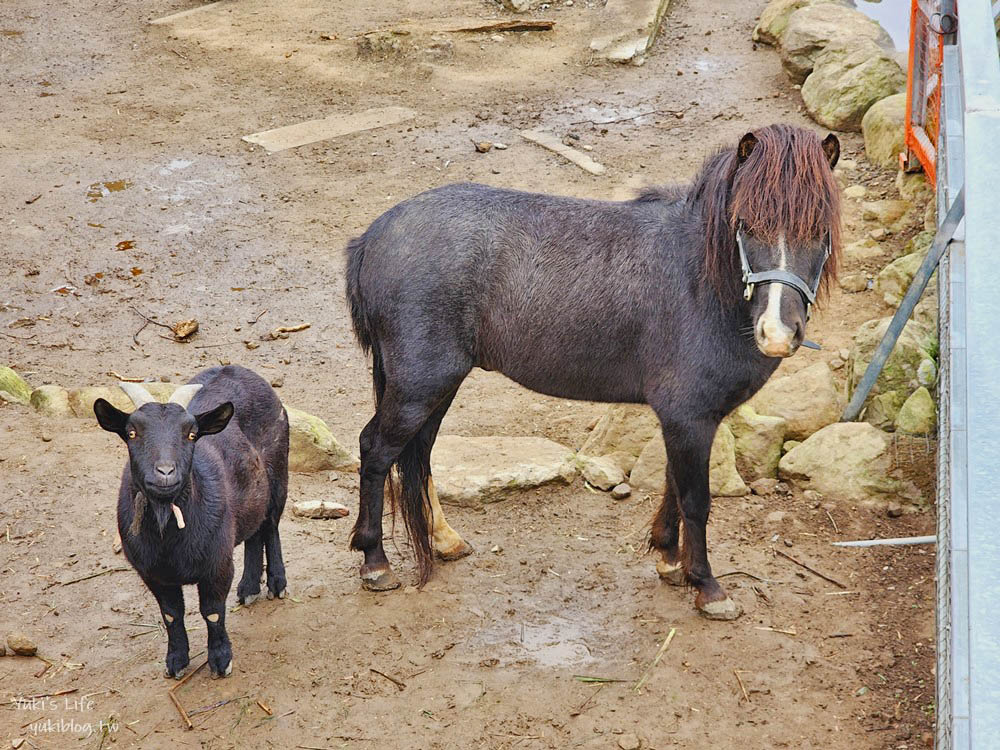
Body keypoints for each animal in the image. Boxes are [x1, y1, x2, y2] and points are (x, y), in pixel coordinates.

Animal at [94, 368, 290, 680]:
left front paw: (221, 661)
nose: (164, 473)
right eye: (132, 433)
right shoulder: (153, 574)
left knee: (270, 526)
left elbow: (212, 612)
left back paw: (276, 583)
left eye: (191, 434)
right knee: (254, 531)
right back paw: (249, 588)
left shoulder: (217, 563)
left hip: (278, 473)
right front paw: (176, 661)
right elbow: (171, 615)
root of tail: (237, 368)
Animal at [348, 126, 840, 620]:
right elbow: (696, 500)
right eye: (746, 225)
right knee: (376, 449)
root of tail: (373, 234)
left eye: (820, 228)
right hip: (420, 384)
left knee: (418, 454)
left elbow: (673, 485)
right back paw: (375, 563)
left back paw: (444, 540)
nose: (777, 333)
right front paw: (708, 587)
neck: (700, 282)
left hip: (435, 386)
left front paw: (669, 559)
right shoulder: (690, 417)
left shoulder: (685, 419)